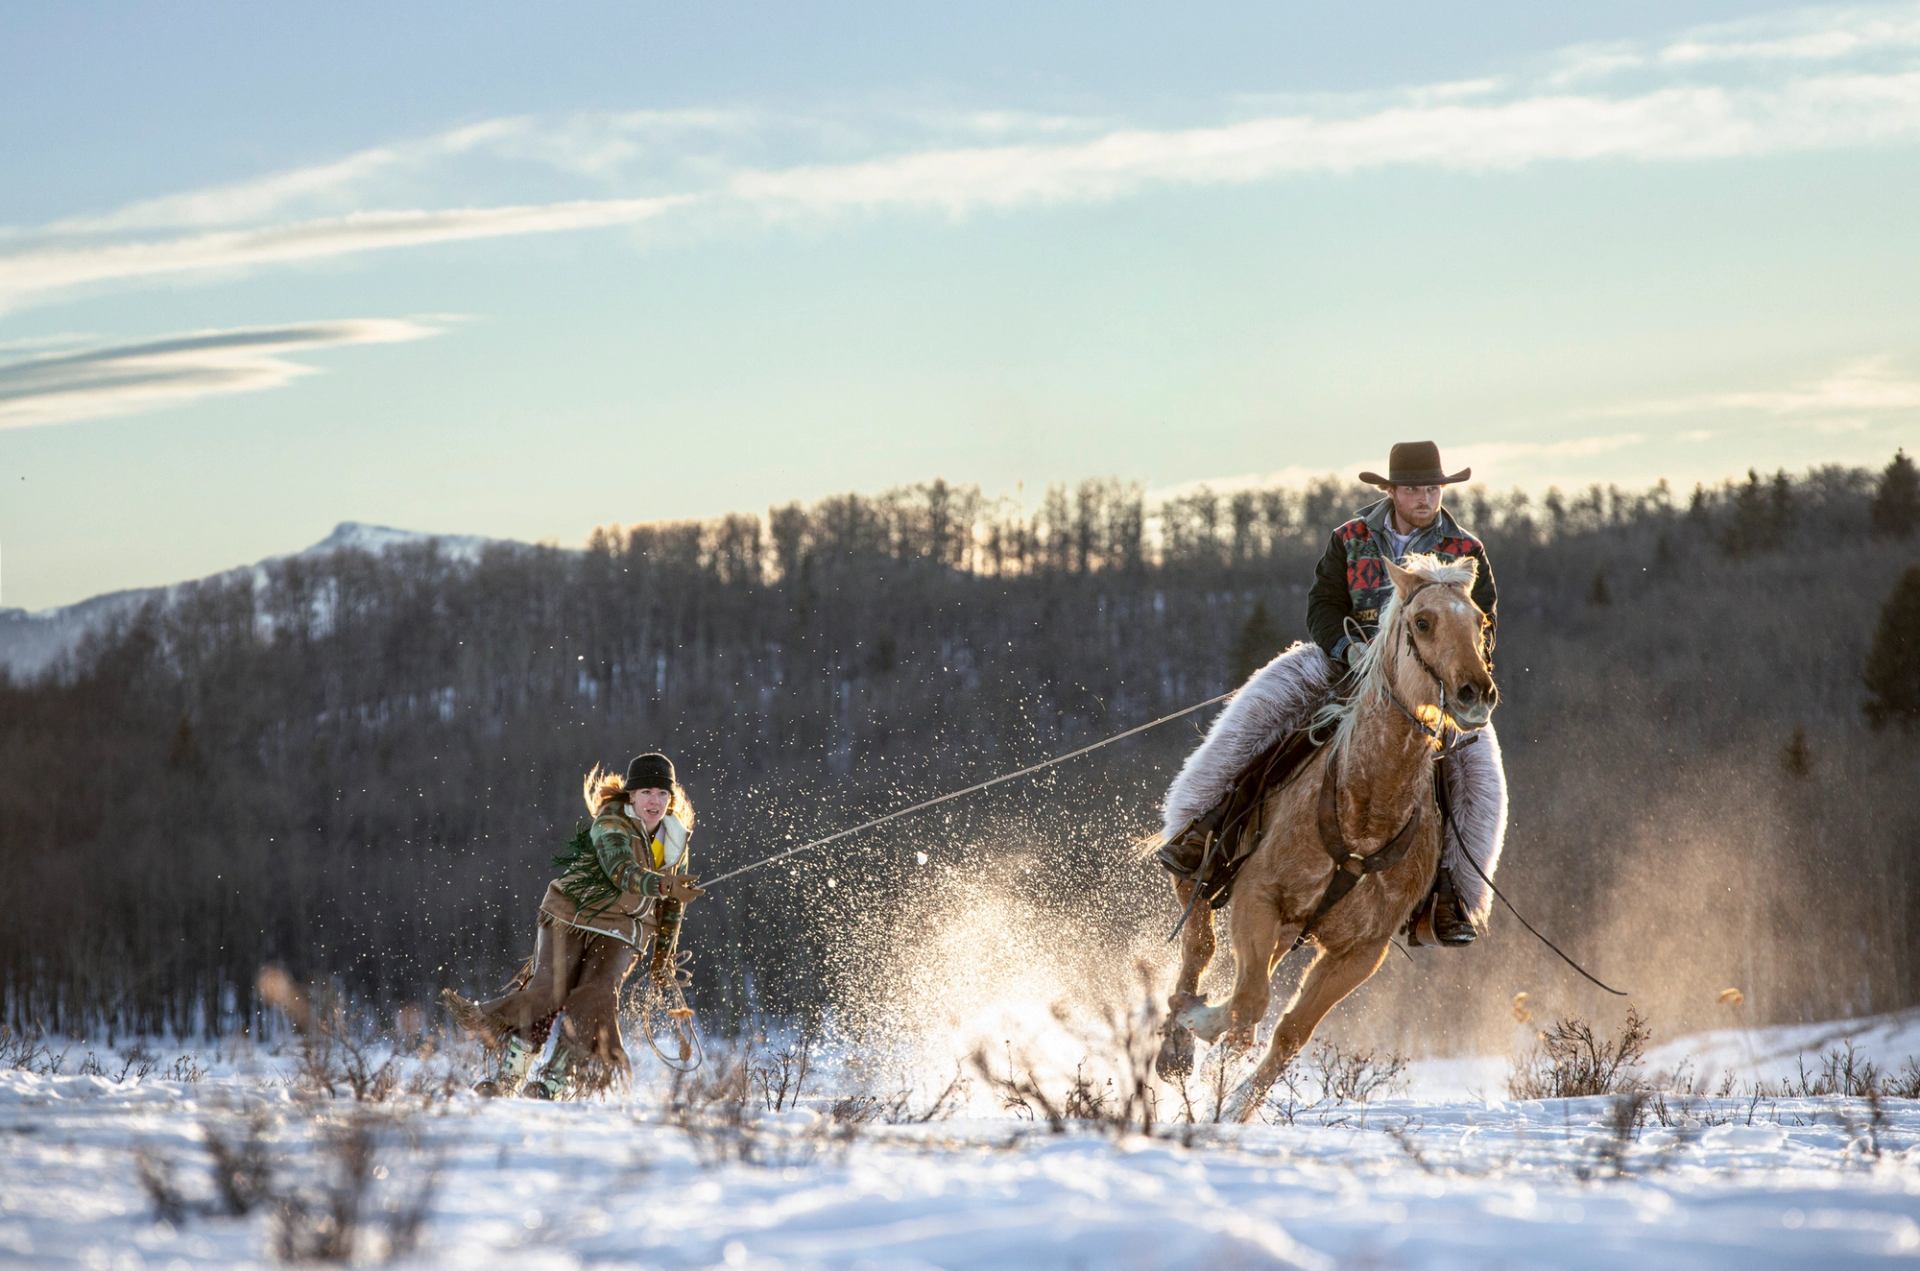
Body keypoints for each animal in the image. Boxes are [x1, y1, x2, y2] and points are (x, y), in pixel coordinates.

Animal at [1152, 556, 1497, 1128]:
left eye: (1480, 622)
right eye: (1423, 622)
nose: (1476, 693)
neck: (1366, 808)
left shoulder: (1361, 951)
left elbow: (1288, 1030)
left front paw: (1234, 1108)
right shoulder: (1257, 898)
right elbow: (1248, 1003)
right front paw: (1198, 1026)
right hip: (1203, 874)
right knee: (1199, 948)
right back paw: (1176, 1042)